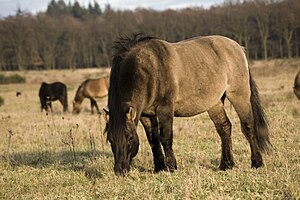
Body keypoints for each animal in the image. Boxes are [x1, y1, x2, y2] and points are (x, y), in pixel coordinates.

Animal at [103, 34, 272, 175]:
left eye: (130, 137)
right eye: (110, 140)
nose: (120, 170)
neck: (148, 69)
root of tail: (238, 47)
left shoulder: (165, 109)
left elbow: (165, 137)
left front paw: (171, 167)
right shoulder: (145, 115)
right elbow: (153, 139)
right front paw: (159, 167)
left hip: (239, 95)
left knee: (248, 126)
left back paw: (257, 163)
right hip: (214, 103)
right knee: (224, 128)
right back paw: (226, 165)